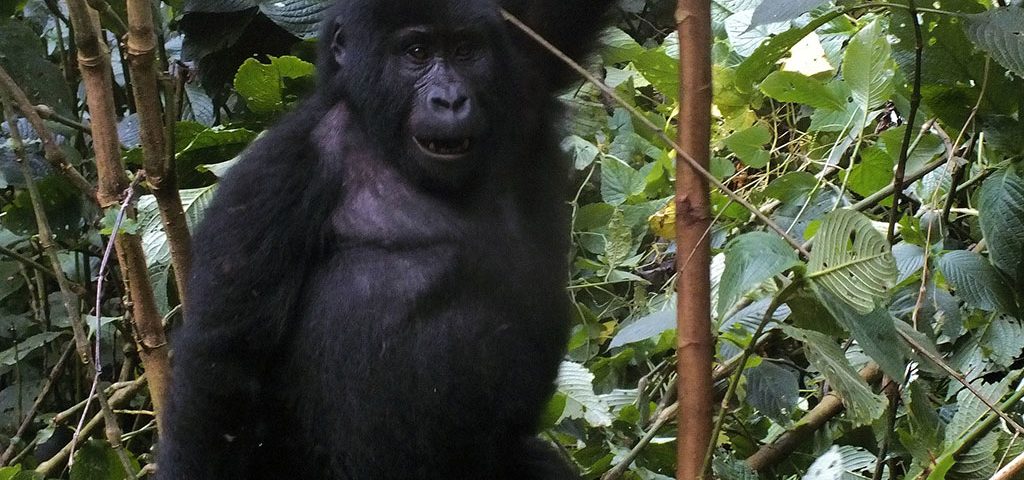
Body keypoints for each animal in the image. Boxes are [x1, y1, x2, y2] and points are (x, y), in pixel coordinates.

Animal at [155, 0, 610, 476]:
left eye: (466, 50)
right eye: (417, 52)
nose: (450, 100)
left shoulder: (520, 79)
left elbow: (553, 21)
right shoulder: (275, 175)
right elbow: (224, 367)